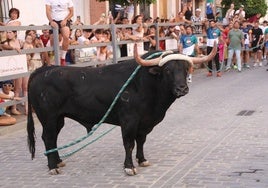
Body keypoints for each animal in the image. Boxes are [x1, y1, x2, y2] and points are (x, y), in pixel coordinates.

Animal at [27, 48, 209, 175]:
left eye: (186, 69)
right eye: (168, 70)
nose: (182, 88)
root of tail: (42, 70)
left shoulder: (144, 123)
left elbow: (141, 141)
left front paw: (142, 160)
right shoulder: (129, 121)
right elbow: (129, 143)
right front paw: (129, 167)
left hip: (59, 118)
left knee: (53, 139)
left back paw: (58, 161)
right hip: (48, 117)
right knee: (48, 138)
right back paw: (53, 167)